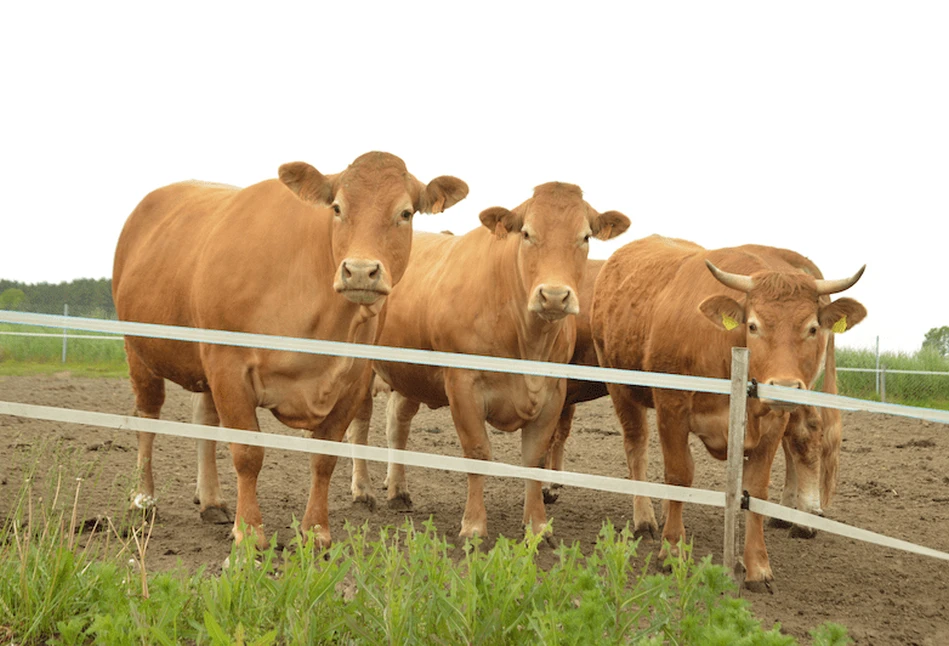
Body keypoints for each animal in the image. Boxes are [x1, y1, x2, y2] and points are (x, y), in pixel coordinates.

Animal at [113, 153, 468, 552]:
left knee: (204, 420)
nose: (361, 271)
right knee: (147, 416)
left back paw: (212, 501)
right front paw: (249, 534)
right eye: (337, 208)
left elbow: (324, 457)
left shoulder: (354, 377)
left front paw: (316, 532)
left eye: (405, 213)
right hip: (139, 350)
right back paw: (144, 499)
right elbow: (248, 453)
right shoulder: (229, 365)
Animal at [344, 184, 624, 540]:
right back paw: (362, 490)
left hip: (410, 374)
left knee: (397, 424)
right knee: (360, 424)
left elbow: (534, 458)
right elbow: (477, 453)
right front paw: (474, 526)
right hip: (362, 365)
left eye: (585, 236)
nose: (554, 296)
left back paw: (398, 490)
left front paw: (537, 526)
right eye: (527, 233)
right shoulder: (463, 386)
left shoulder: (554, 393)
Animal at [592, 234, 868, 592]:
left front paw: (758, 566)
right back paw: (646, 518)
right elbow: (678, 475)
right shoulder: (671, 405)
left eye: (811, 328)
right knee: (636, 444)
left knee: (803, 434)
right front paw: (672, 550)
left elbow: (756, 488)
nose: (783, 386)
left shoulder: (772, 420)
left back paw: (799, 516)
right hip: (620, 386)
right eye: (753, 325)